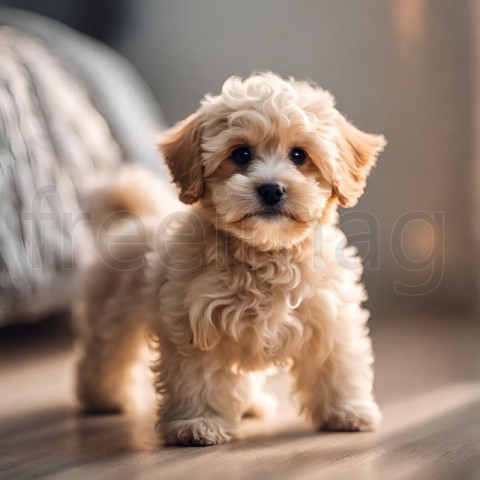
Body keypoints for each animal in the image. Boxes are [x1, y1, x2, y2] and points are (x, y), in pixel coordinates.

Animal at [75, 71, 386, 446]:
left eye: (299, 155)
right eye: (241, 154)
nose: (271, 189)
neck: (265, 255)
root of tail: (136, 220)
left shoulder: (329, 317)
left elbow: (337, 366)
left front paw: (347, 412)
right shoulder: (194, 324)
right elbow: (198, 378)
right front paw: (197, 423)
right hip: (112, 317)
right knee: (103, 357)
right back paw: (100, 398)